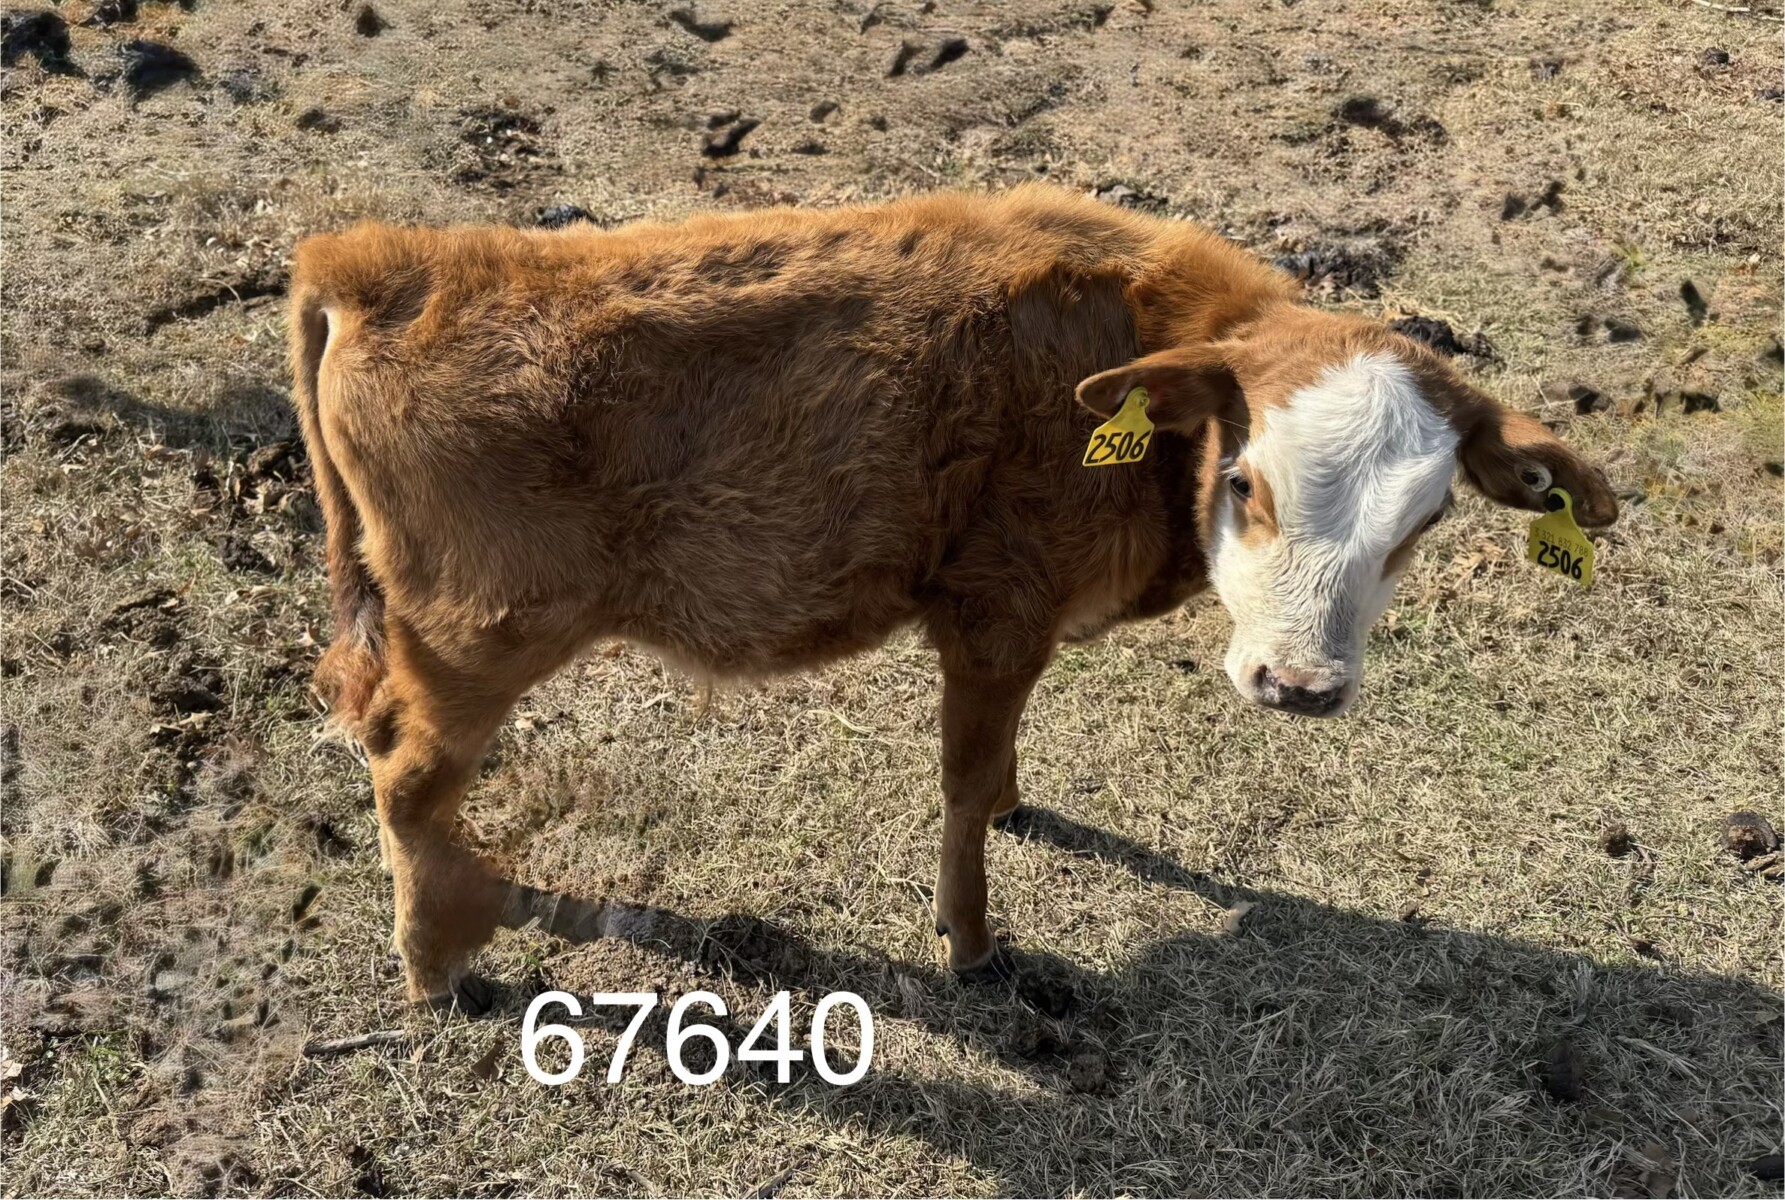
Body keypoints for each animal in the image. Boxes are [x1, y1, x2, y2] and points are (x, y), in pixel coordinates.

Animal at [288, 185, 1617, 1003]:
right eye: (1246, 481)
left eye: (1424, 521)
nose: (1296, 685)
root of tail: (388, 259)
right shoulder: (993, 617)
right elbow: (965, 789)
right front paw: (972, 945)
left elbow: (1000, 776)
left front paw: (1024, 807)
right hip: (478, 644)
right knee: (405, 781)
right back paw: (438, 968)